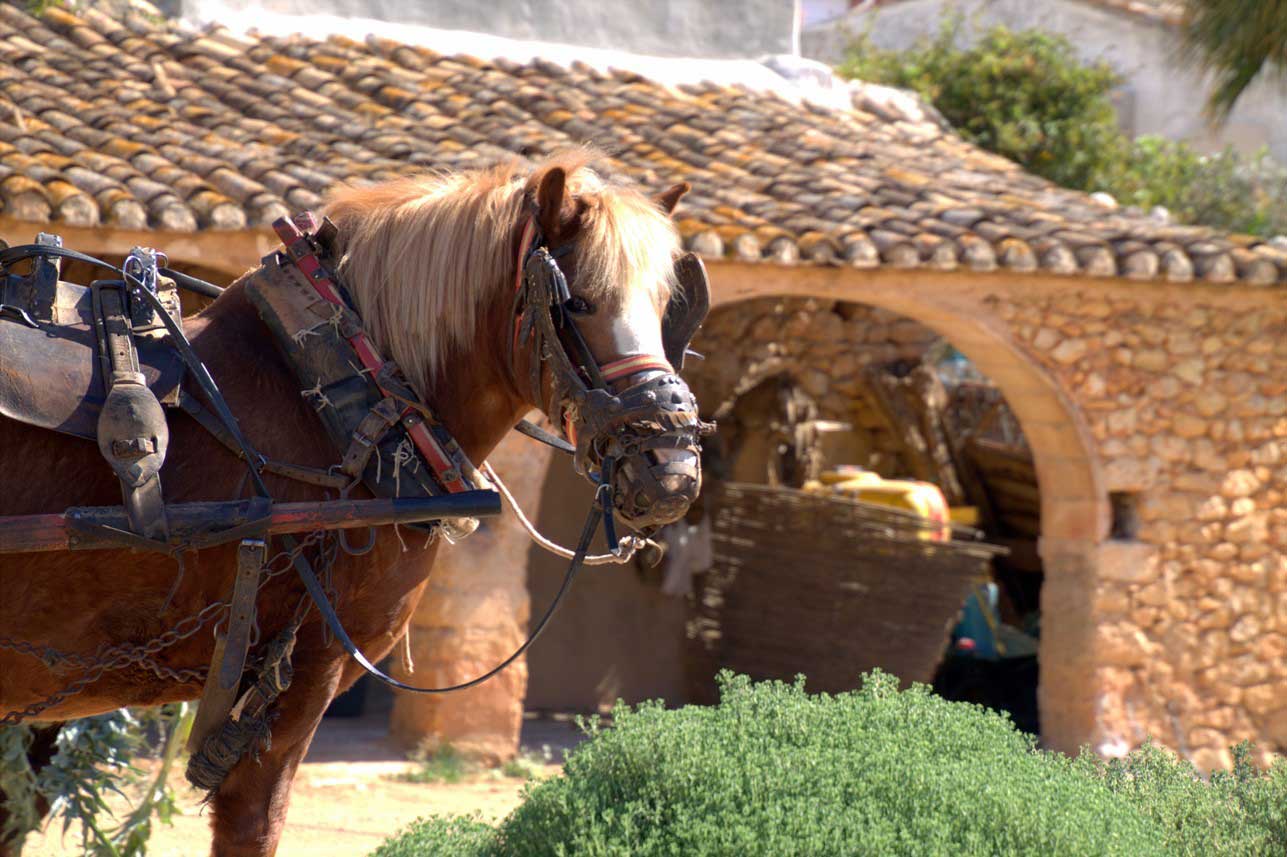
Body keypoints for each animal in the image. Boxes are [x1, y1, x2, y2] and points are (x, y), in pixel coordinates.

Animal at [0, 153, 700, 854]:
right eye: (576, 302)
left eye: (667, 304)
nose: (672, 465)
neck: (345, 390)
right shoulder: (298, 672)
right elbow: (255, 822)